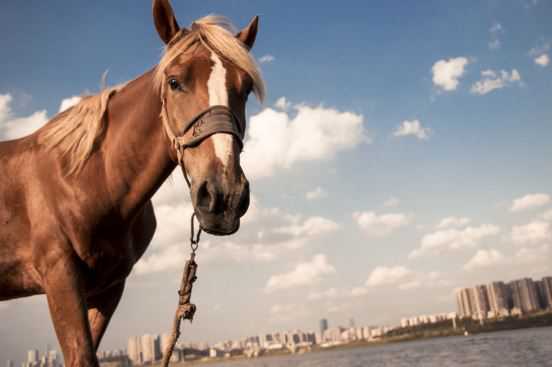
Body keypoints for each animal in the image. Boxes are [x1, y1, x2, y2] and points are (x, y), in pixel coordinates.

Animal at [0, 1, 268, 366]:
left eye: (245, 88)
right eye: (174, 81)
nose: (224, 197)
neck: (87, 178)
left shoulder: (109, 288)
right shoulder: (60, 277)